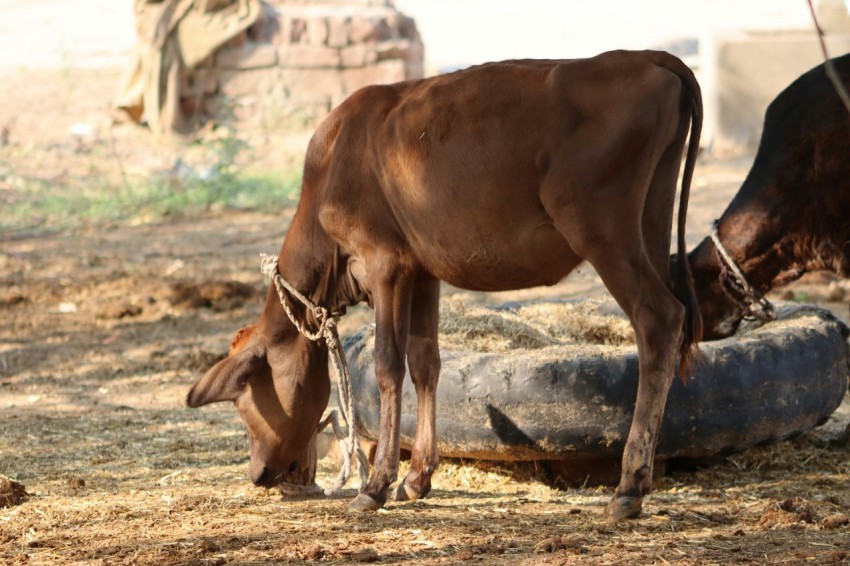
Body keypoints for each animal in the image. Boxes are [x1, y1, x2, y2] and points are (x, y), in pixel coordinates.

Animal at [186, 49, 703, 523]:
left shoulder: (384, 263)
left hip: (600, 227)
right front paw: (417, 479)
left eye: (243, 402)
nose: (258, 474)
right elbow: (425, 361)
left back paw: (629, 485)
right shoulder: (422, 271)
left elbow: (387, 364)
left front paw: (375, 484)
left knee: (658, 319)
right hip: (652, 218)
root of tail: (645, 56)